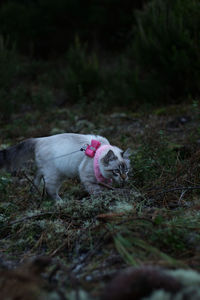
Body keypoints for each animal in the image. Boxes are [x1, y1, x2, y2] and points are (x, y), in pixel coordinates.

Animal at [0, 134, 130, 204]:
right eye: (116, 171)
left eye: (126, 170)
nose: (124, 178)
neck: (97, 153)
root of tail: (38, 139)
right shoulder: (87, 176)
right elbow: (97, 191)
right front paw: (102, 199)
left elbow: (106, 186)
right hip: (55, 175)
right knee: (50, 190)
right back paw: (61, 203)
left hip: (51, 172)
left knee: (36, 179)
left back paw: (34, 194)